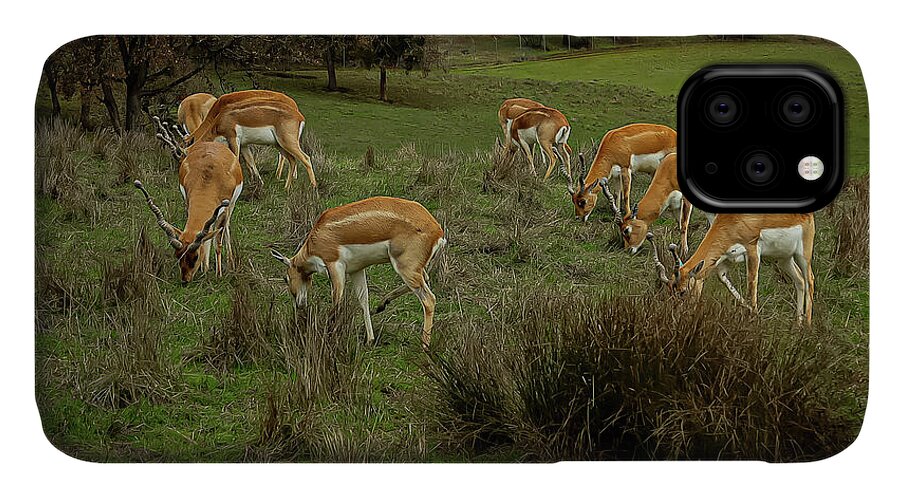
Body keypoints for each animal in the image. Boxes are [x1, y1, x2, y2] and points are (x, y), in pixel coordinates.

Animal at [135, 118, 243, 283]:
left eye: (195, 256)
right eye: (178, 255)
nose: (185, 280)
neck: (209, 179)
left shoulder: (224, 209)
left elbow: (218, 241)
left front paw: (218, 274)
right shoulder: (189, 202)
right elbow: (205, 236)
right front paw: (205, 269)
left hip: (231, 206)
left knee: (225, 228)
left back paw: (230, 261)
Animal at [185, 89, 315, 190]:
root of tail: (299, 116)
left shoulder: (233, 139)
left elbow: (236, 160)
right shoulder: (244, 145)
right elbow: (250, 161)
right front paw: (258, 183)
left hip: (287, 142)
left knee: (305, 158)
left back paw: (313, 188)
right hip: (279, 144)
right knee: (292, 159)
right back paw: (286, 187)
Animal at [270, 196, 447, 350]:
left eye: (286, 278)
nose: (300, 304)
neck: (315, 239)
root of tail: (437, 231)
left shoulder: (335, 266)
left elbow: (337, 301)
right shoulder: (357, 270)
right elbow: (363, 300)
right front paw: (370, 340)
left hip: (404, 267)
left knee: (429, 299)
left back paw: (424, 345)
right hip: (413, 268)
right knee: (425, 279)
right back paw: (382, 304)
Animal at [645, 212, 815, 324]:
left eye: (682, 292)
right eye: (669, 291)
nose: (676, 316)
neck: (733, 221)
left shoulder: (753, 251)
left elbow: (751, 285)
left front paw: (753, 318)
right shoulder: (724, 260)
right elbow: (725, 282)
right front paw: (751, 312)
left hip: (803, 255)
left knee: (810, 280)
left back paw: (807, 326)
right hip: (783, 259)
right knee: (799, 280)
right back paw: (798, 324)